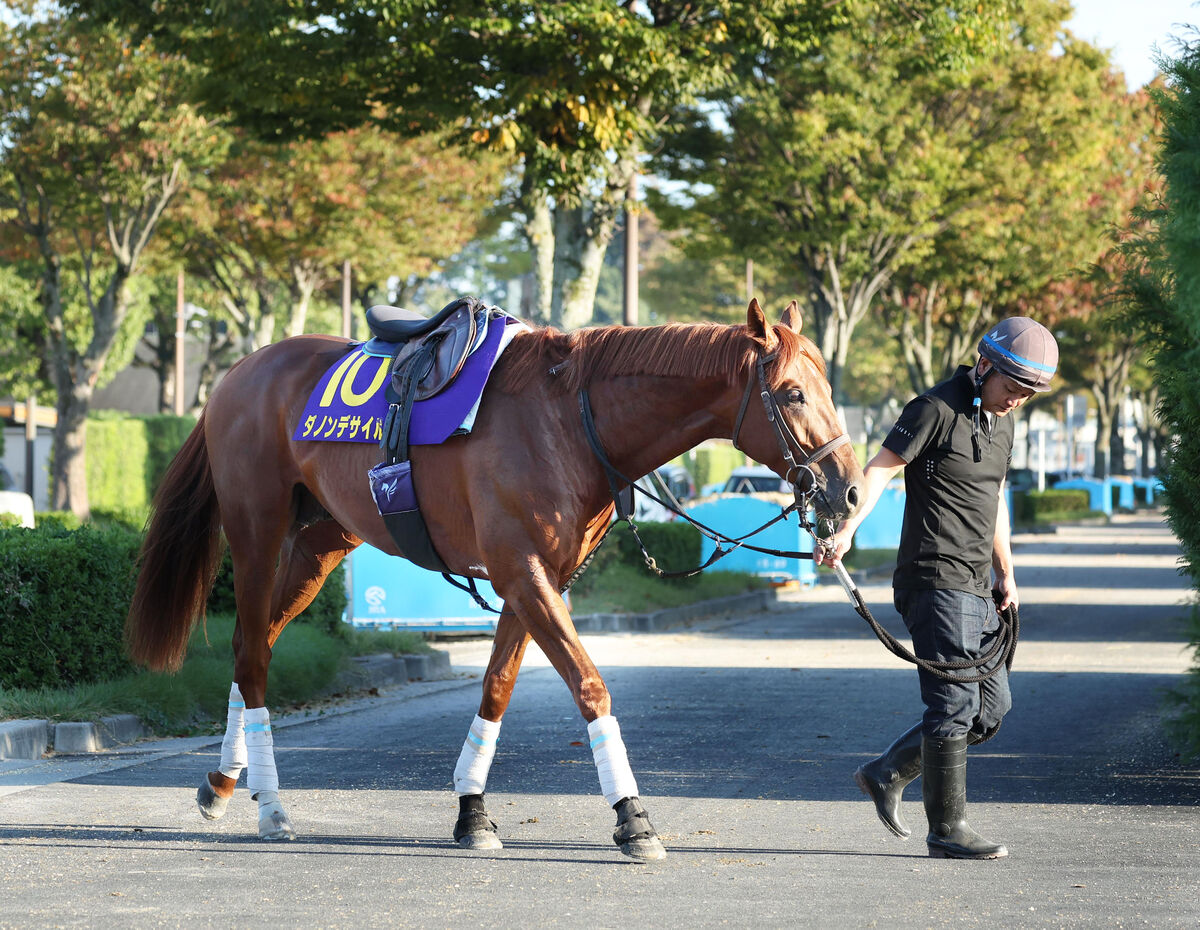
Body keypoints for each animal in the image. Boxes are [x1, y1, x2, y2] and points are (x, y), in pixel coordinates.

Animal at [126, 302, 864, 864]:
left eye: (829, 390)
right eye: (794, 393)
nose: (851, 491)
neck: (567, 419)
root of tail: (238, 375)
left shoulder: (538, 579)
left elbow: (497, 688)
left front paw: (472, 811)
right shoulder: (523, 571)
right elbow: (589, 686)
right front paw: (632, 816)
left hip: (321, 542)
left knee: (254, 647)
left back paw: (225, 781)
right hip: (256, 532)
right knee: (252, 654)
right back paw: (272, 805)